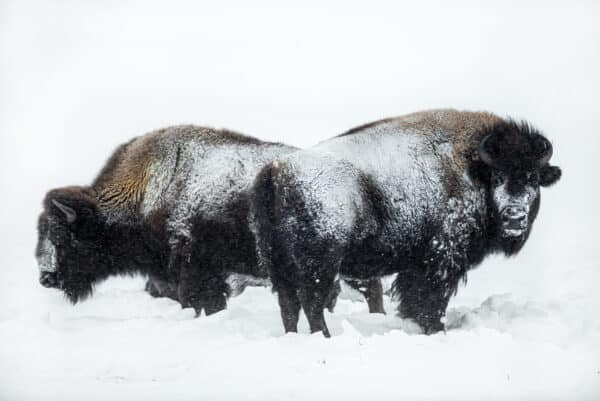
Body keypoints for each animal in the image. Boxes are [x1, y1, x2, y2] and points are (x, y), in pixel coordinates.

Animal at [251, 108, 560, 334]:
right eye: (498, 177)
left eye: (533, 177)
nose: (514, 216)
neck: (472, 168)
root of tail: (274, 172)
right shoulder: (441, 260)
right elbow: (430, 300)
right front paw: (434, 329)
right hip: (320, 265)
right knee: (311, 303)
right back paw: (325, 337)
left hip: (280, 266)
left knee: (289, 306)